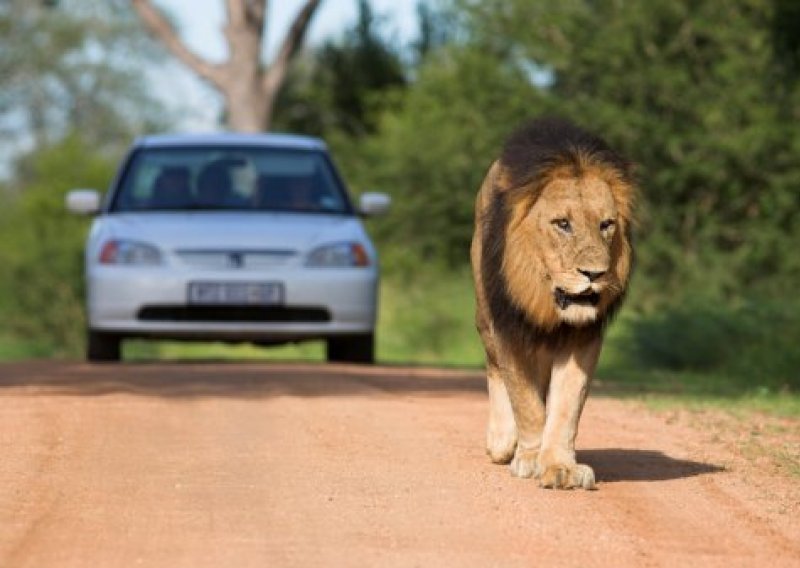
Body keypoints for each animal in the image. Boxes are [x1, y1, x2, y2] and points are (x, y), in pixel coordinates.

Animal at [468, 117, 636, 490]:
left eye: (606, 224)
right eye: (563, 224)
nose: (595, 273)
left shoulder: (583, 338)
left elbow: (565, 407)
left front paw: (560, 466)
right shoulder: (508, 330)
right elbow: (525, 400)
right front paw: (530, 458)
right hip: (485, 315)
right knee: (494, 367)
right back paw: (502, 442)